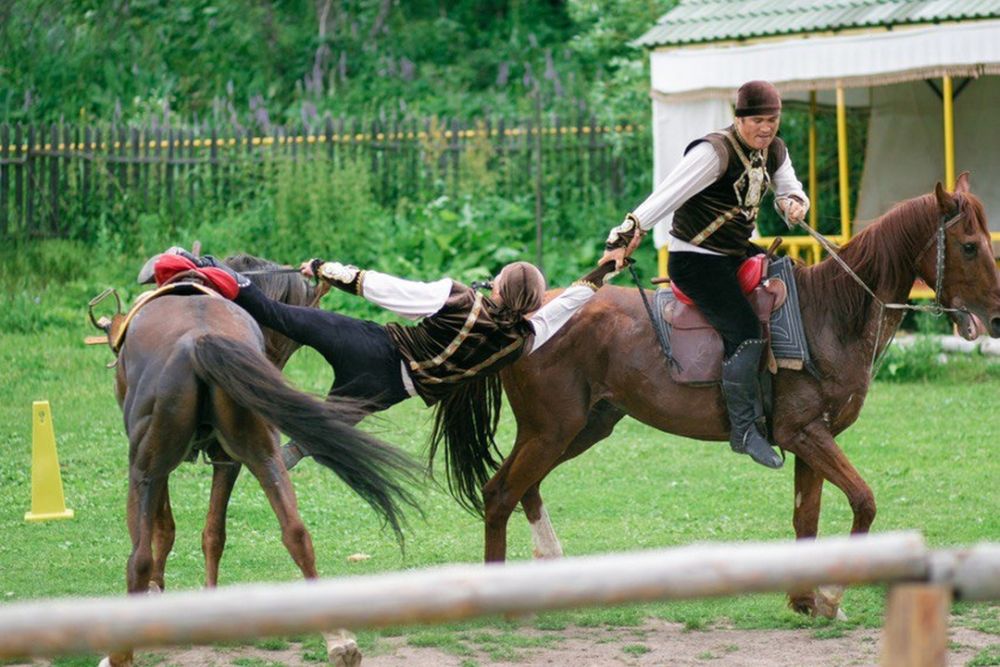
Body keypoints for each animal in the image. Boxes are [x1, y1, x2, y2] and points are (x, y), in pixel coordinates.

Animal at [105, 258, 422, 667]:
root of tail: (199, 341)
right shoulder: (228, 461)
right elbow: (214, 533)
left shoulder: (156, 468)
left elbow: (166, 528)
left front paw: (158, 593)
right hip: (264, 455)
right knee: (297, 533)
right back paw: (339, 641)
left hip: (146, 468)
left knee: (139, 558)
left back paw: (121, 652)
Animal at [474, 175, 1000, 620]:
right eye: (970, 246)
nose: (995, 319)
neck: (829, 316)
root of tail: (526, 316)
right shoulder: (805, 434)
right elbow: (863, 501)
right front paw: (830, 597)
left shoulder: (812, 440)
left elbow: (807, 518)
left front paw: (805, 600)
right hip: (551, 431)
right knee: (500, 493)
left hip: (582, 427)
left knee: (525, 489)